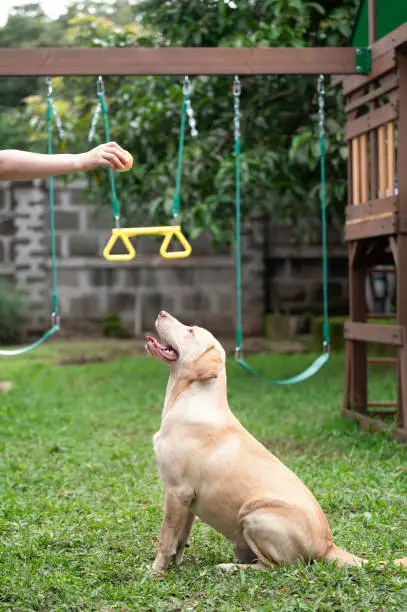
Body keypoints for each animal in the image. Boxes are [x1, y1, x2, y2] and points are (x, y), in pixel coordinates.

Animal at [147, 310, 407, 572]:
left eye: (190, 330)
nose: (161, 313)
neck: (189, 397)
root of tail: (328, 546)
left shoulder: (177, 491)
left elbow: (166, 536)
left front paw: (156, 570)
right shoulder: (189, 499)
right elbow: (181, 537)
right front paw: (174, 563)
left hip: (254, 513)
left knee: (275, 567)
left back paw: (229, 568)